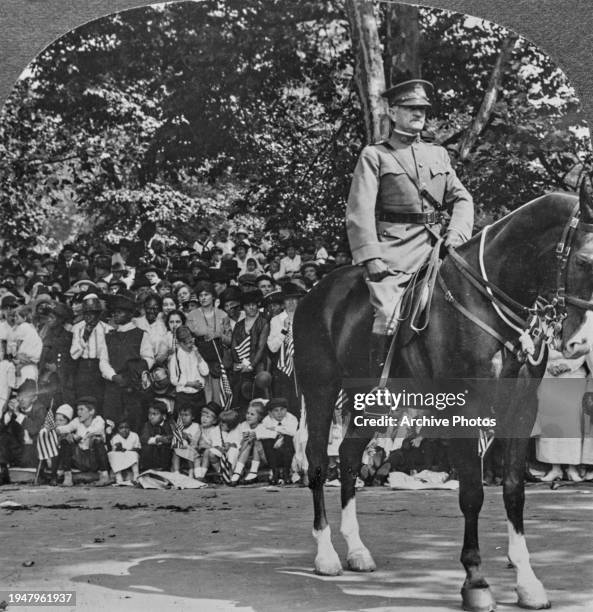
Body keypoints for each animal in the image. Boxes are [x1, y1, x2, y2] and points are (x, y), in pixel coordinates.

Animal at [294, 179, 593, 608]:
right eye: (585, 260)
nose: (580, 343)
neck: (488, 300)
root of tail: (314, 293)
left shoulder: (522, 409)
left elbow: (514, 492)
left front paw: (527, 582)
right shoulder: (465, 410)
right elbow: (472, 494)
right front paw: (476, 581)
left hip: (371, 401)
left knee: (349, 457)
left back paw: (357, 550)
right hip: (319, 392)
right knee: (319, 463)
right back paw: (326, 554)